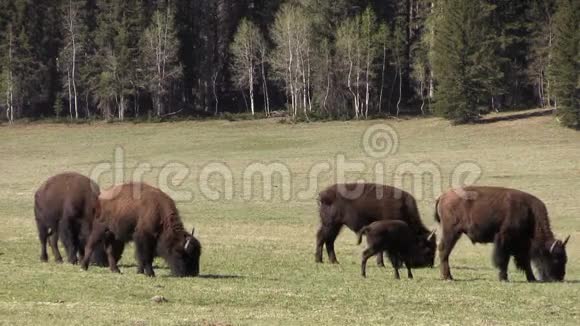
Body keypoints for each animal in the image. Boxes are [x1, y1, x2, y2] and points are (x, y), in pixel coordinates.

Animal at [438, 187, 568, 282]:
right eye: (556, 259)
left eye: (565, 259)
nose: (560, 278)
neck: (529, 213)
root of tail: (443, 196)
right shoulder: (505, 239)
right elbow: (504, 260)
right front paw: (504, 278)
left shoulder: (522, 244)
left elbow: (525, 261)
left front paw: (532, 279)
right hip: (452, 232)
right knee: (444, 251)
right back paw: (448, 277)